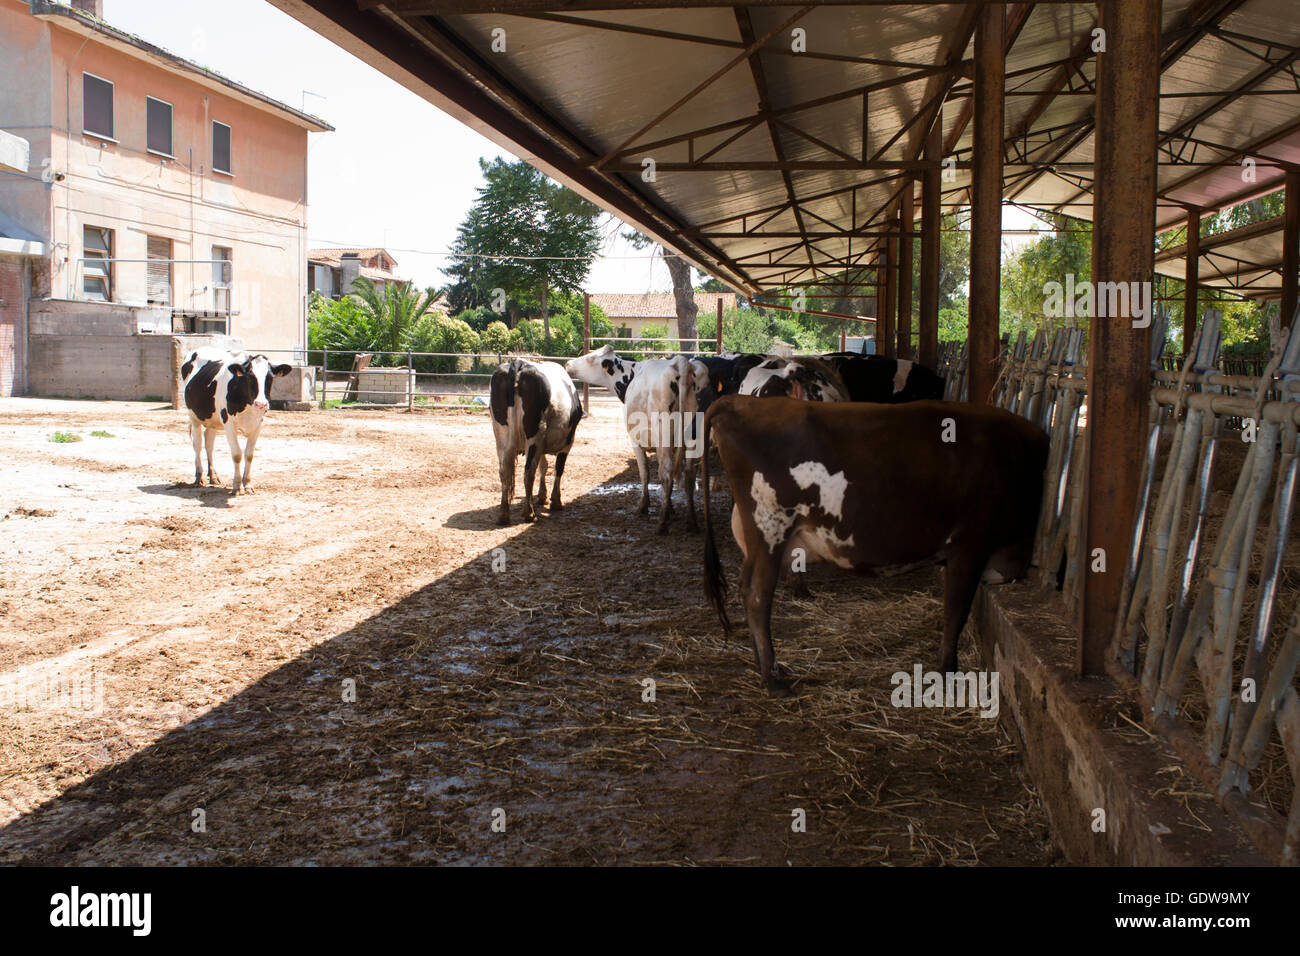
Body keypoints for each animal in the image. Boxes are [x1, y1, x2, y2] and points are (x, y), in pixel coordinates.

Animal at [182, 345, 291, 494]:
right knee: (197, 444)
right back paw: (199, 477)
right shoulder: (228, 423)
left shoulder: (259, 423)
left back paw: (213, 476)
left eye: (269, 378)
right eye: (249, 377)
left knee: (209, 443)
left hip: (212, 419)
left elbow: (249, 454)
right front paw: (237, 486)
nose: (261, 404)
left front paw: (248, 484)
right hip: (193, 416)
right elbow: (237, 454)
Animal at [488, 356, 582, 528]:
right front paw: (555, 501)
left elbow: (543, 466)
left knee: (504, 471)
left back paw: (504, 514)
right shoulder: (567, 443)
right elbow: (558, 468)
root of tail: (520, 364)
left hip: (501, 436)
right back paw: (529, 513)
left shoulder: (542, 446)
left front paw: (542, 495)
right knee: (528, 471)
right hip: (534, 435)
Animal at [702, 395, 1045, 697]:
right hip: (771, 528)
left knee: (747, 588)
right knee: (757, 597)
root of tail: (739, 401)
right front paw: (948, 671)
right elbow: (956, 612)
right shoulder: (970, 544)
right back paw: (774, 680)